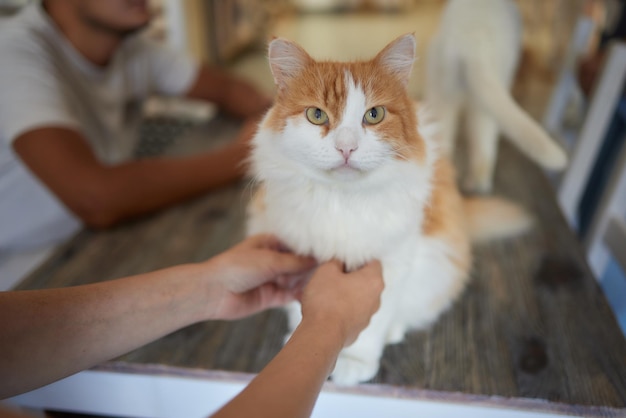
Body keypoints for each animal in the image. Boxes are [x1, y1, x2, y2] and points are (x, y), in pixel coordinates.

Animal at [246, 33, 528, 386]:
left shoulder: (391, 264)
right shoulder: (302, 259)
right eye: (317, 115)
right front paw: (302, 339)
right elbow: (301, 309)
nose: (347, 147)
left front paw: (354, 359)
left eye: (374, 115)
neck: (342, 200)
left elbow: (374, 320)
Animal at [424, 0, 564, 193]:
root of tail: (474, 44)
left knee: (443, 146)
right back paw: (478, 185)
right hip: (484, 107)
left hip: (443, 96)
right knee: (485, 152)